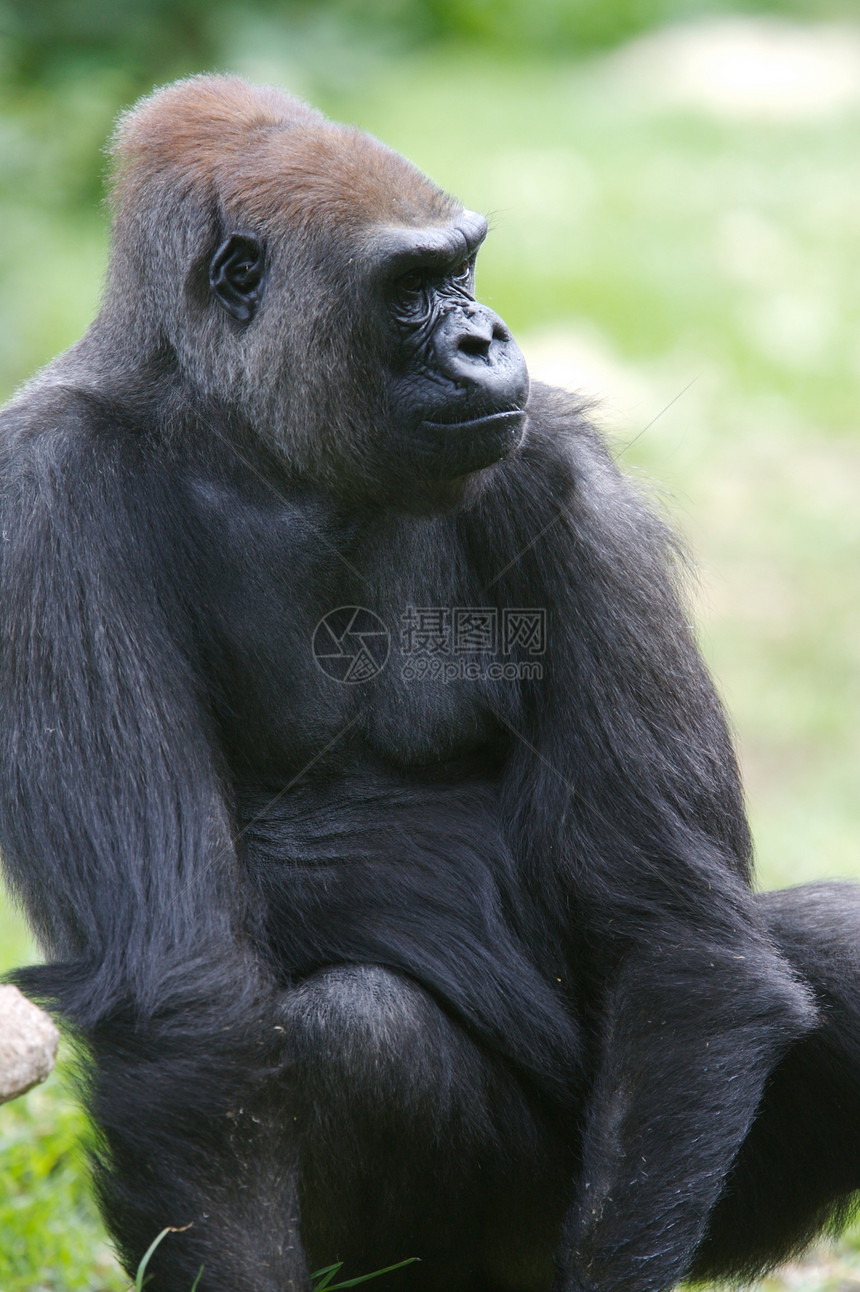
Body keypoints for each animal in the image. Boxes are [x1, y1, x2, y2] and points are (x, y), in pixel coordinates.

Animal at [1, 73, 857, 1292]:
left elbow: (681, 938)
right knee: (361, 1034)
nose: (484, 336)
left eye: (465, 268)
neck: (238, 428)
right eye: (411, 289)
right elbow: (188, 1000)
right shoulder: (44, 502)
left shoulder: (560, 470)